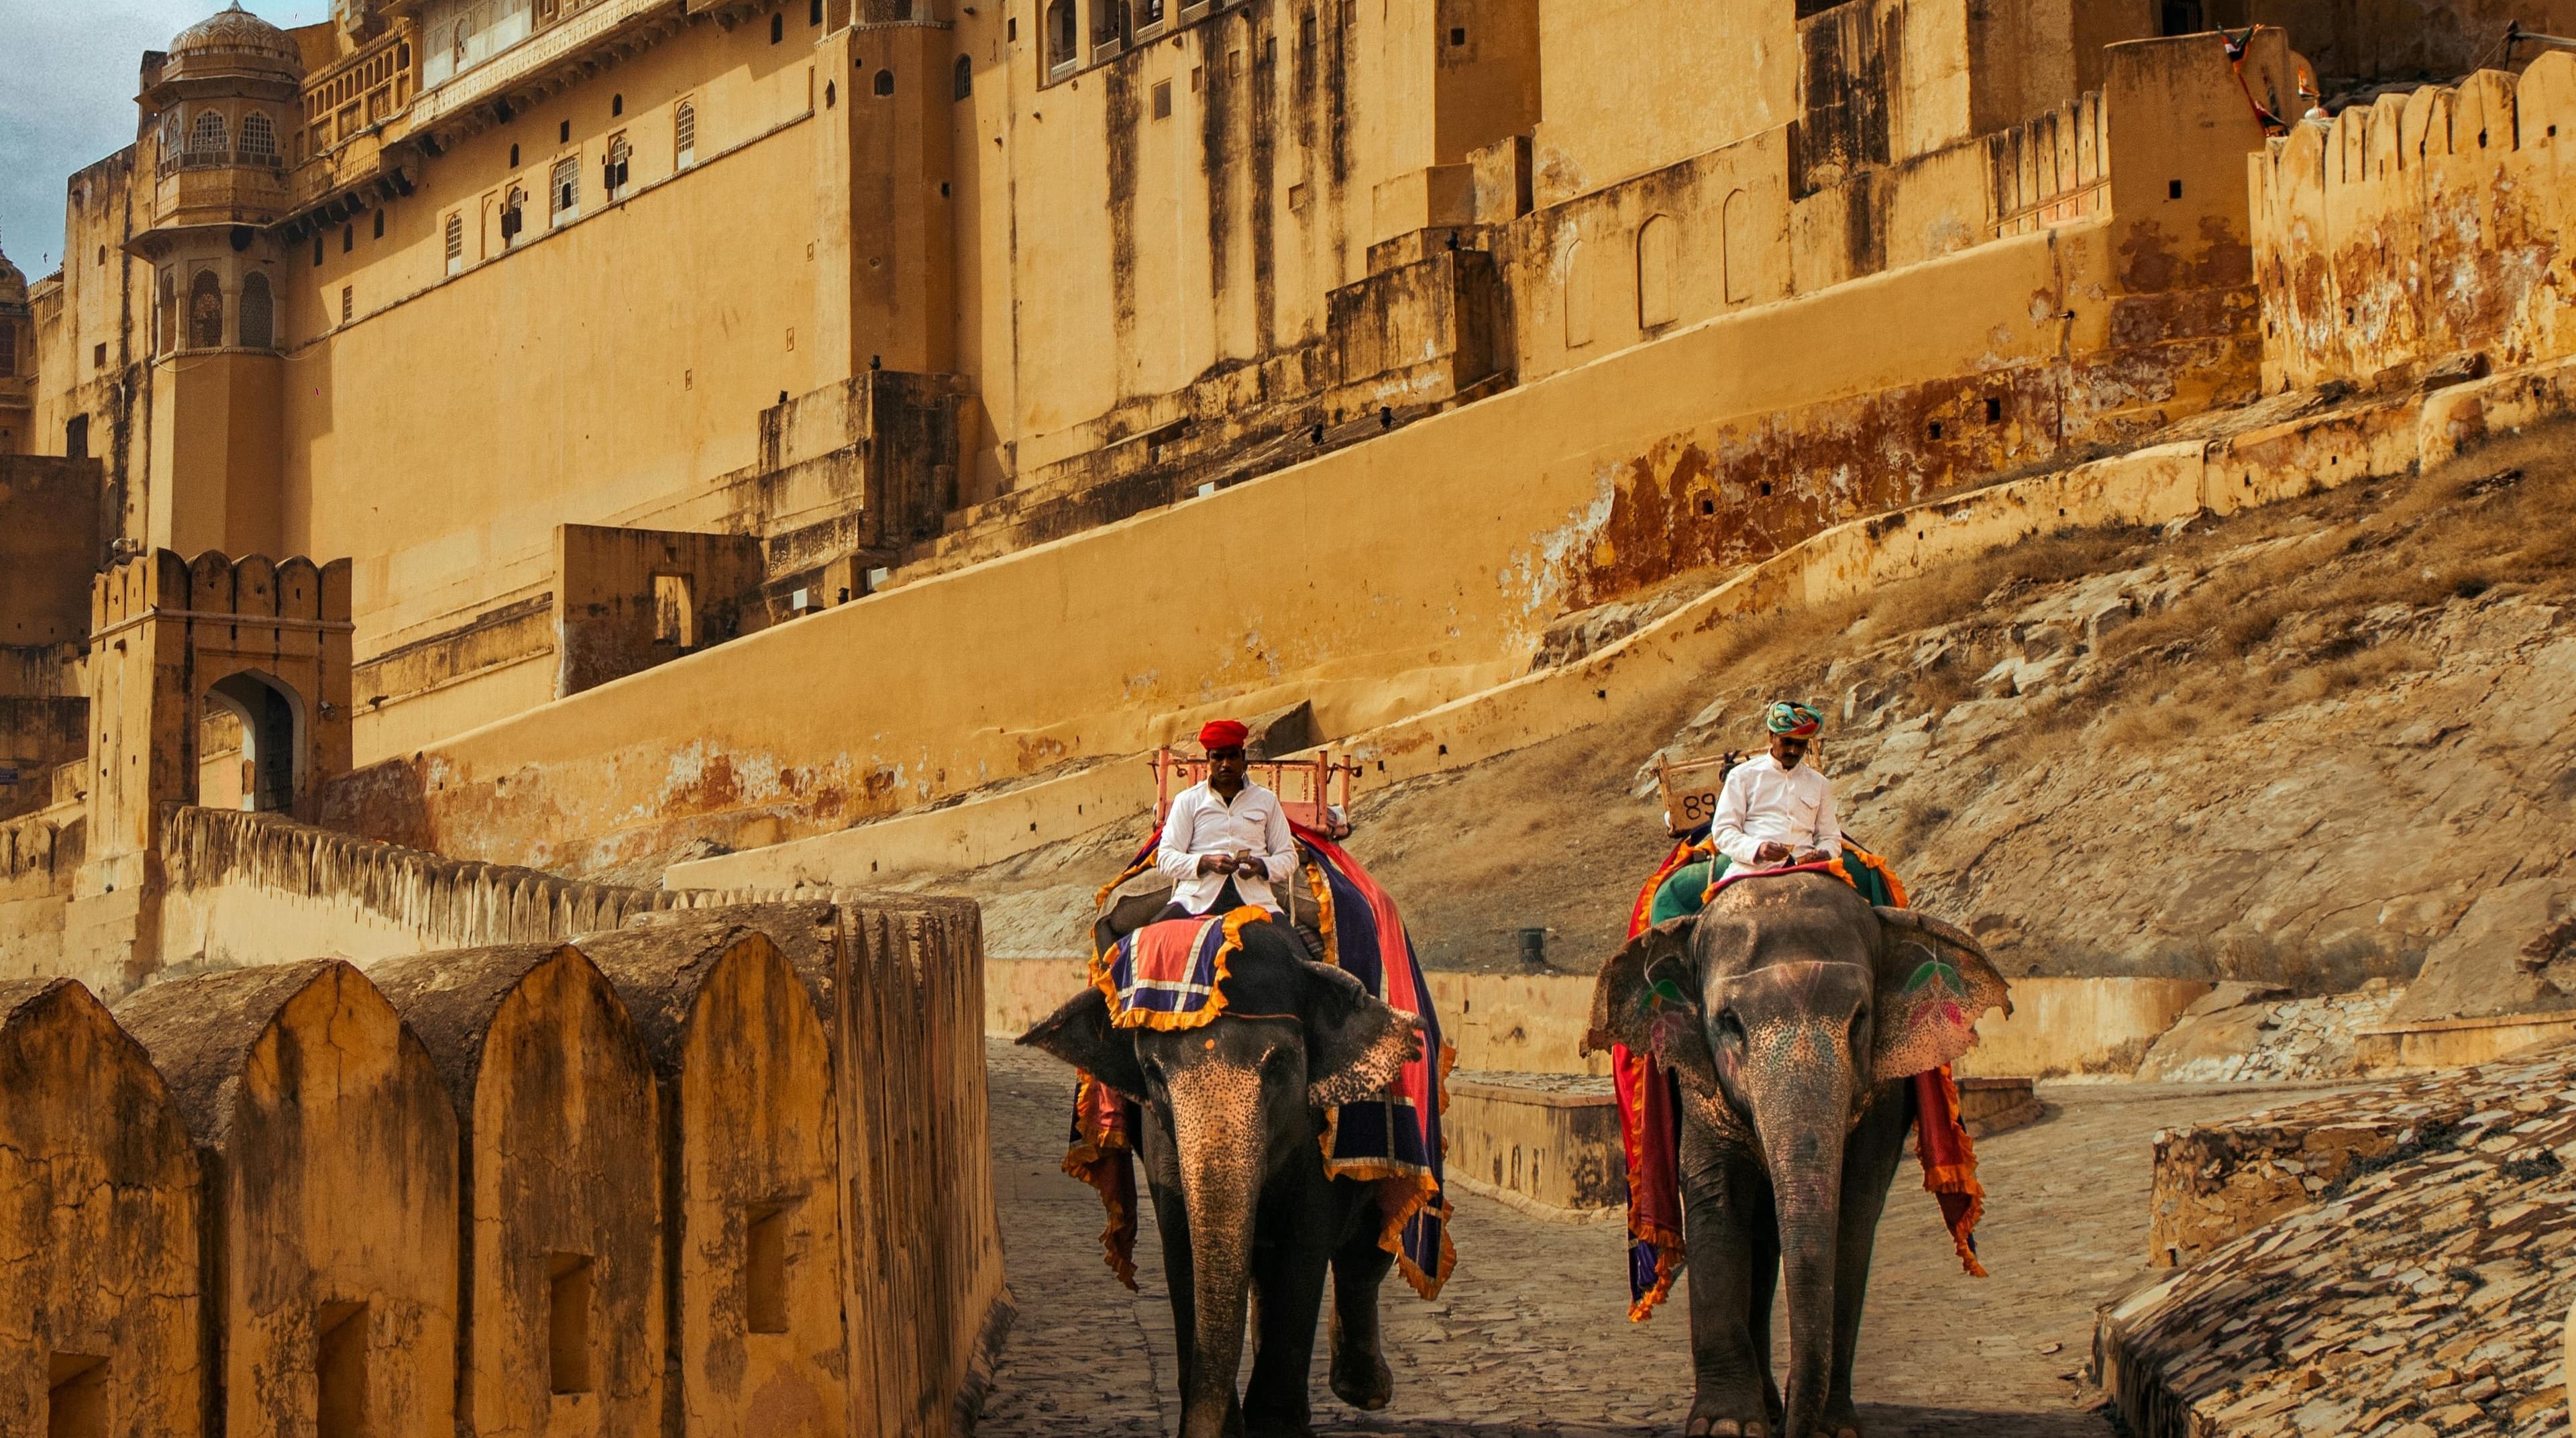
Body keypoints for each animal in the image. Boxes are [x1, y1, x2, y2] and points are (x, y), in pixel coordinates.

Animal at [1020, 918, 1424, 1438]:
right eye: (1152, 1071)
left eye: (1280, 1063)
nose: (1197, 1428)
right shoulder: (1161, 1137)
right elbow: (1181, 1245)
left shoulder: (1315, 1130)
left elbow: (1305, 1244)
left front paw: (1276, 1429)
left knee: (1366, 1251)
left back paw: (1366, 1392)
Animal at [1585, 871, 2011, 1438]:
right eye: (1729, 1022)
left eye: (1860, 1018)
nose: (1795, 1421)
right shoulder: (1699, 1073)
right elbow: (1716, 1197)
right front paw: (1726, 1427)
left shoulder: (1882, 1089)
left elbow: (1855, 1209)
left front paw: (1831, 1429)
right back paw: (1763, 1409)